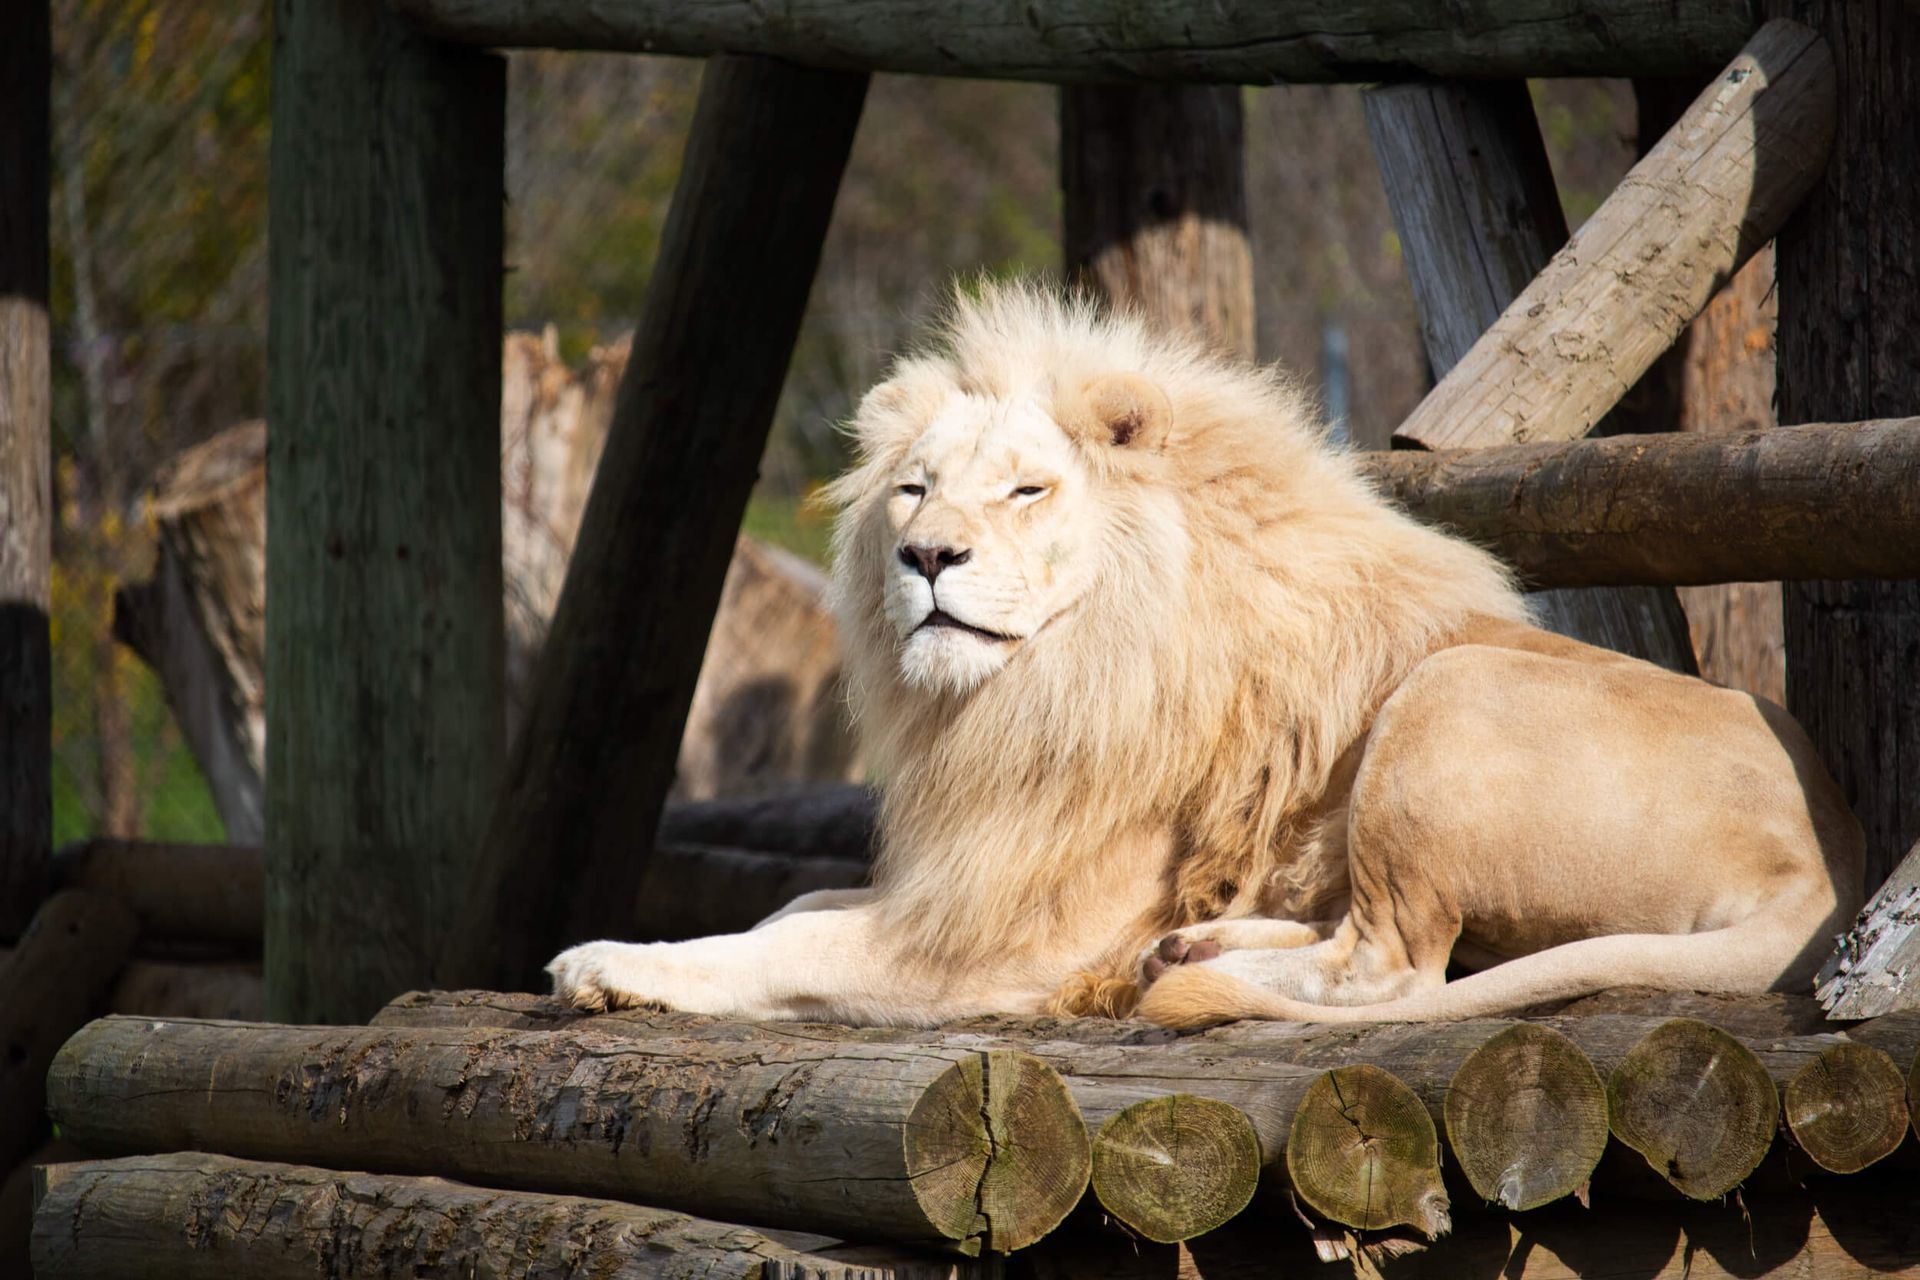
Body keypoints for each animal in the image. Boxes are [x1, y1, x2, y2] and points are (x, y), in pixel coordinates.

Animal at [548, 282, 1865, 1028]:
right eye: (914, 488)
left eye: (1025, 490)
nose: (925, 555)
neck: (1033, 687)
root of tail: (1830, 861)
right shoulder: (969, 873)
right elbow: (796, 903)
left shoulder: (1012, 934)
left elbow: (794, 939)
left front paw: (614, 959)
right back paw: (1192, 946)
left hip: (1446, 694)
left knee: (1400, 973)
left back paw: (1168, 974)